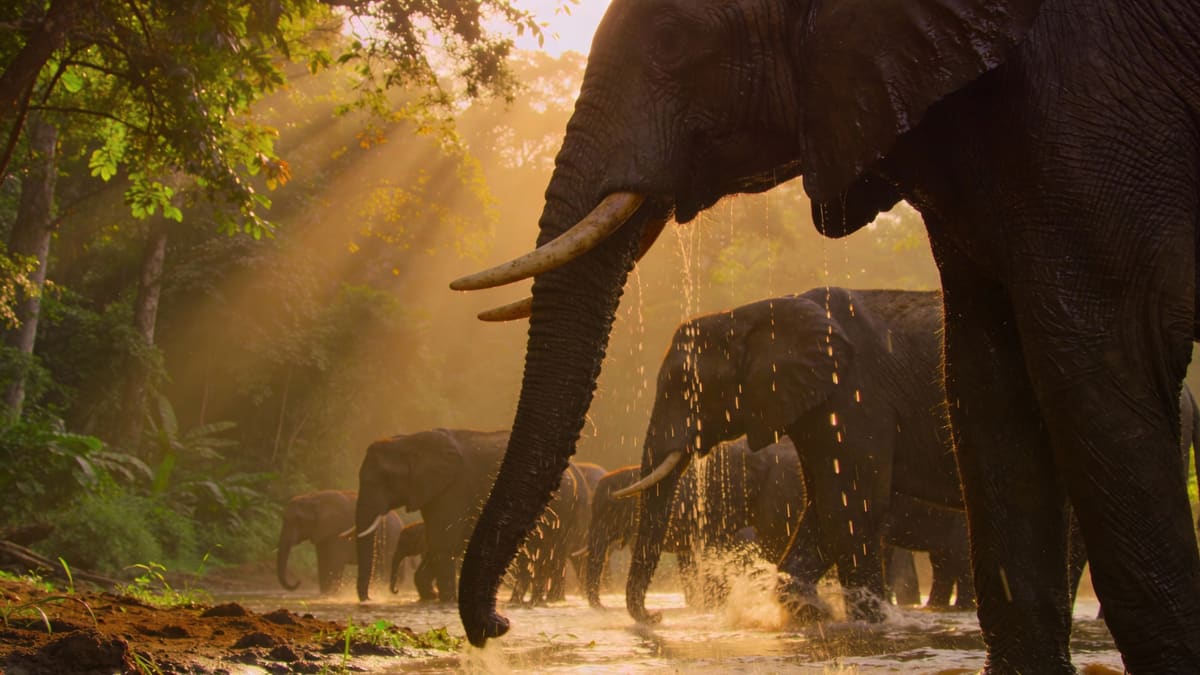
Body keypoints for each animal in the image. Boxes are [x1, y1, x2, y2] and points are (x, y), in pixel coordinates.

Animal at [355, 429, 508, 603]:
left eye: (381, 480)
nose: (369, 599)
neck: (410, 442)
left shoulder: (454, 487)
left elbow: (444, 542)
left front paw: (446, 600)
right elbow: (435, 543)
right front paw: (432, 596)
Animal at [618, 291, 973, 624]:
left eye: (684, 382)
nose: (656, 616)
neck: (752, 314)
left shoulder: (856, 396)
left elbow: (850, 509)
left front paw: (866, 623)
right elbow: (822, 509)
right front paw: (813, 611)